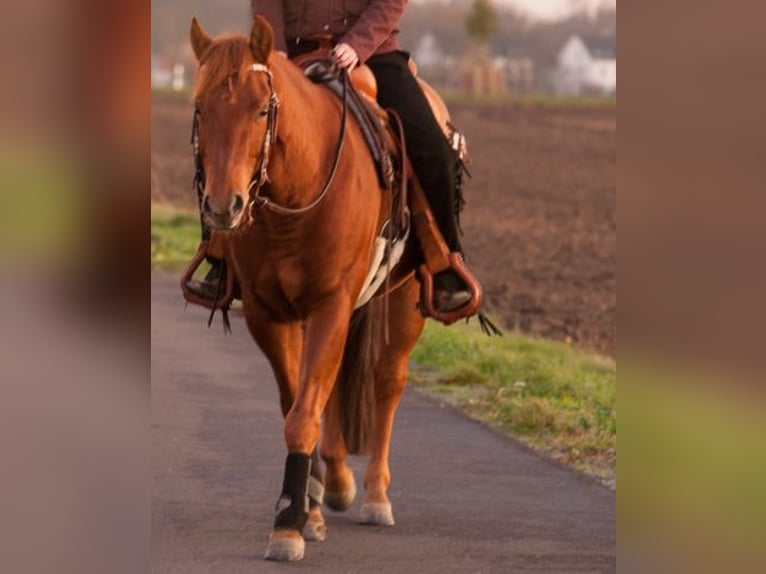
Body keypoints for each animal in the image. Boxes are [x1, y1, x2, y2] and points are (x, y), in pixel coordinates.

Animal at [186, 16, 426, 564]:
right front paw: (306, 508)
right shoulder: (269, 314)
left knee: (388, 382)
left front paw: (288, 525)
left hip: (402, 303)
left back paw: (376, 496)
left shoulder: (330, 306)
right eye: (200, 107)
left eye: (260, 109)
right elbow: (299, 404)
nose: (224, 206)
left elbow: (303, 414)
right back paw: (333, 484)